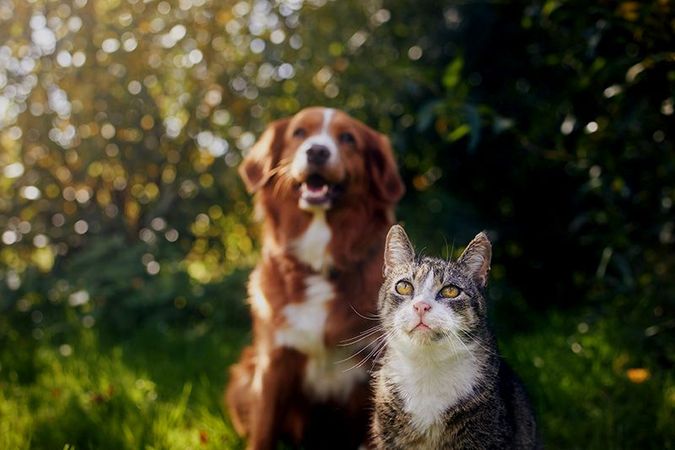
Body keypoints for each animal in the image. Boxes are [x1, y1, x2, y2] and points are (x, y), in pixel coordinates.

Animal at [227, 107, 406, 448]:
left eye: (347, 138)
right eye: (299, 132)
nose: (317, 151)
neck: (320, 265)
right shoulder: (273, 362)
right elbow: (263, 432)